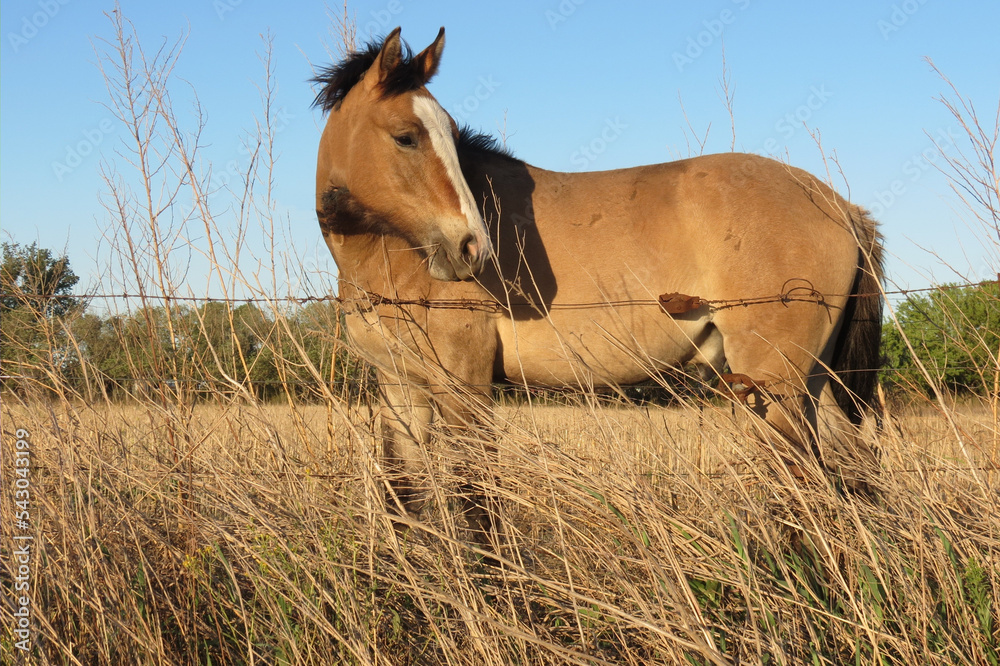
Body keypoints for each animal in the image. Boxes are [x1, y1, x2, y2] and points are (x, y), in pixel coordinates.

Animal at [312, 27, 884, 541]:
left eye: (451, 138)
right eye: (406, 137)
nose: (472, 248)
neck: (388, 254)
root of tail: (839, 206)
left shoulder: (464, 387)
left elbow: (478, 507)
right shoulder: (399, 388)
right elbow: (403, 499)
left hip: (778, 386)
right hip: (810, 384)